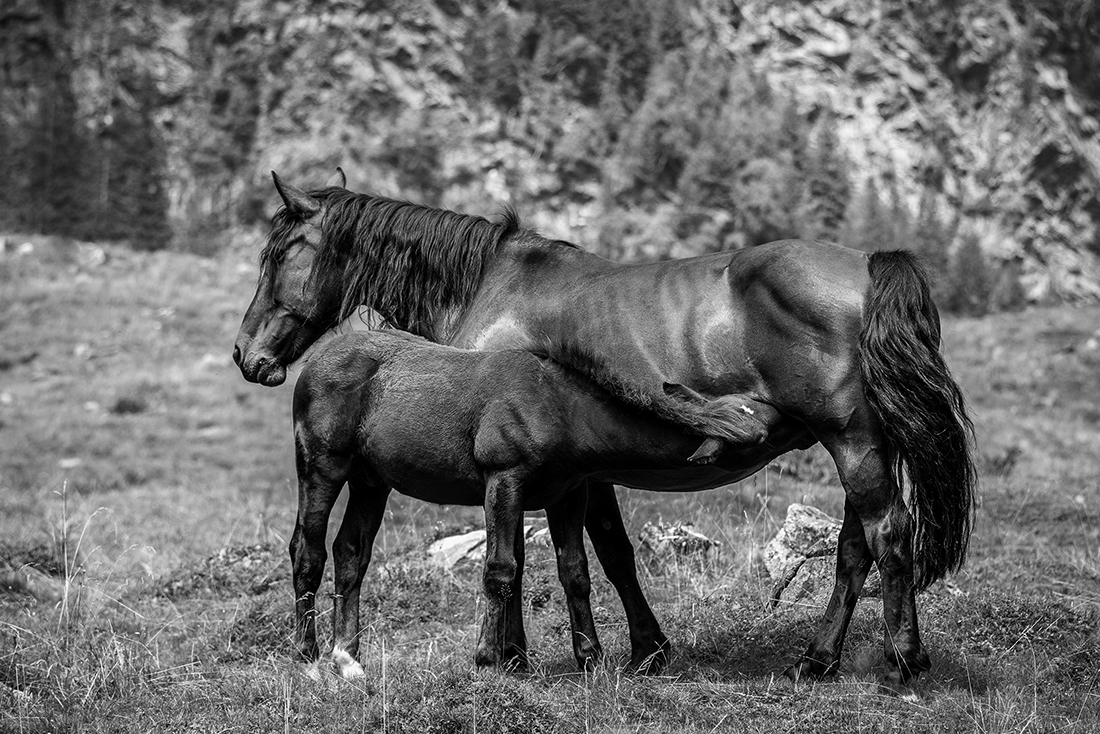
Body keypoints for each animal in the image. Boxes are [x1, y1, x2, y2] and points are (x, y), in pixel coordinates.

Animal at [291, 328, 768, 677]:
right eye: (752, 442)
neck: (556, 405)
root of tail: (318, 357)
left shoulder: (568, 494)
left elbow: (575, 570)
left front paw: (590, 657)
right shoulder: (504, 481)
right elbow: (500, 570)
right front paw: (489, 657)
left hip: (370, 482)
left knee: (350, 552)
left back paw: (347, 657)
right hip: (323, 468)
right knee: (307, 551)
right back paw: (307, 653)